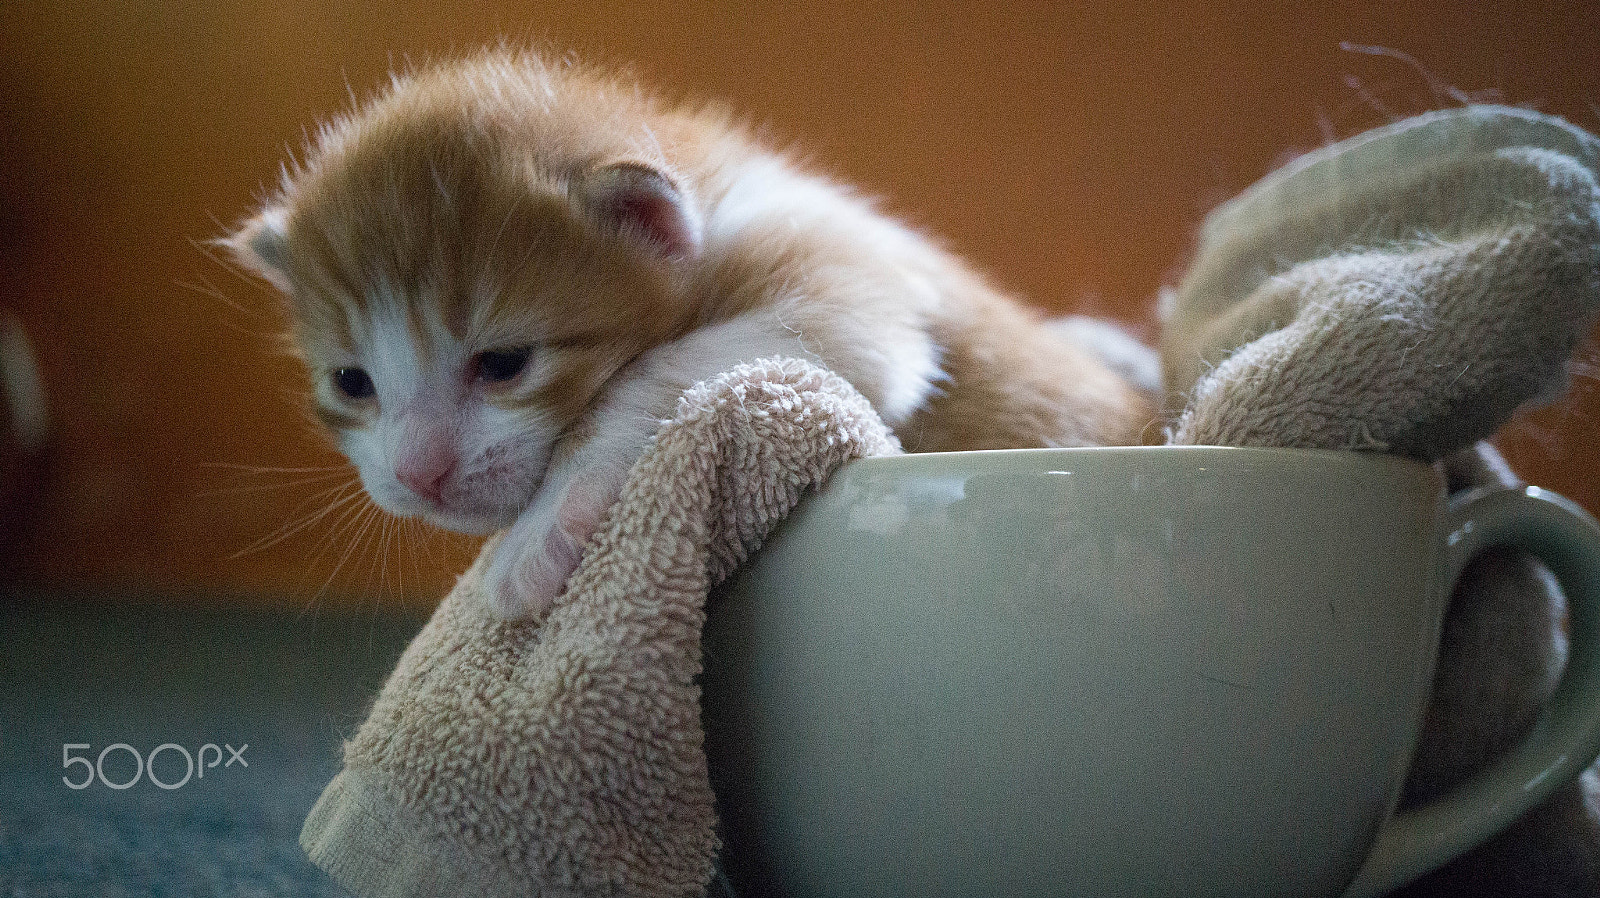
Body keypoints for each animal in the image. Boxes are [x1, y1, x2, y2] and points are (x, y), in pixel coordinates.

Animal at [222, 52, 1152, 621]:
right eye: (352, 382)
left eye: (505, 363)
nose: (418, 475)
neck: (714, 206)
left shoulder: (848, 287)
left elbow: (667, 373)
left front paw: (538, 536)